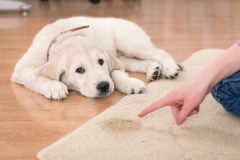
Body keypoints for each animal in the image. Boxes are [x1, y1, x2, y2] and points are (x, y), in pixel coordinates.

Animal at [11, 16, 180, 99]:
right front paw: (54, 87)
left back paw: (170, 68)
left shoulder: (112, 61)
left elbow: (115, 73)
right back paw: (154, 70)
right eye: (79, 70)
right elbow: (34, 76)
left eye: (101, 62)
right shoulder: (23, 68)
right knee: (138, 62)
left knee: (160, 52)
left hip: (129, 42)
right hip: (124, 57)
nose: (104, 86)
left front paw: (129, 83)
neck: (65, 36)